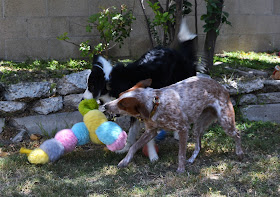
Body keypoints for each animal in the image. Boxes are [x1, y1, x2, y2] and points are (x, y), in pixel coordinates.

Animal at [83, 16, 199, 162]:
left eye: (91, 86)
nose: (82, 99)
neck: (112, 81)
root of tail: (181, 55)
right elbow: (132, 133)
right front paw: (125, 149)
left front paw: (153, 156)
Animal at [104, 76, 244, 173]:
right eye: (119, 96)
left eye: (122, 104)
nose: (105, 106)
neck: (156, 105)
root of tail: (223, 87)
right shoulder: (151, 131)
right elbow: (133, 146)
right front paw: (124, 161)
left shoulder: (183, 129)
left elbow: (181, 154)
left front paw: (181, 170)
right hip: (197, 127)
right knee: (198, 146)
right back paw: (191, 159)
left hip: (226, 122)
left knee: (237, 134)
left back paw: (240, 153)